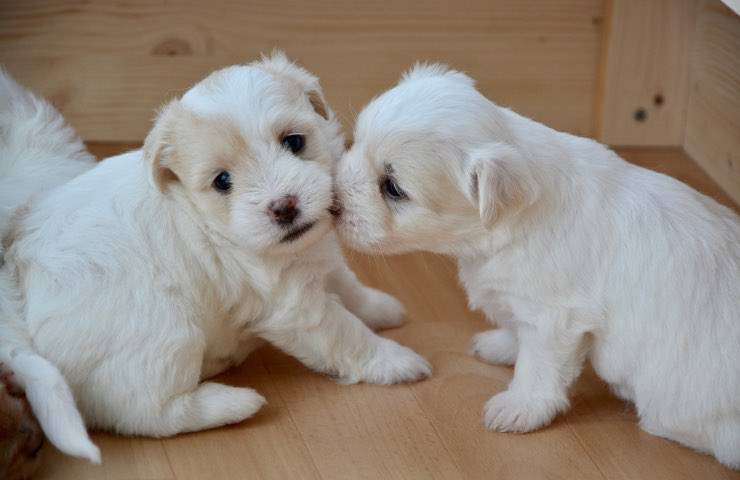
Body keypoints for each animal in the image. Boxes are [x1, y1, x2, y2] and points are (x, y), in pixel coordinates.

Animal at [1, 54, 428, 440]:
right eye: (223, 181)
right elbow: (346, 334)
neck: (207, 220)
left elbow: (347, 286)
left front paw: (381, 308)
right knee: (146, 413)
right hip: (166, 336)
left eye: (294, 142)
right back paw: (233, 402)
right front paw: (396, 360)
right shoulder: (295, 307)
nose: (284, 206)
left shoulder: (318, 258)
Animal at [336, 63, 740, 468]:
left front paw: (520, 406)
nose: (333, 203)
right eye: (355, 142)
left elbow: (539, 367)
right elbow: (518, 333)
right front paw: (501, 346)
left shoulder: (555, 318)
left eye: (392, 187)